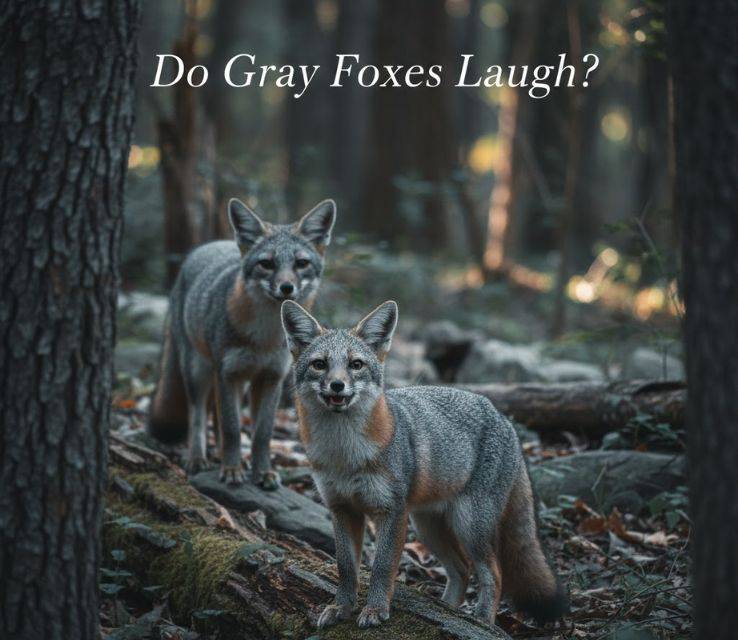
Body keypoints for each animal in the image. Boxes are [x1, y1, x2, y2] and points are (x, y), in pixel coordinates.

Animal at [148, 197, 337, 489]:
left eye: (301, 263)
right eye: (267, 264)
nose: (286, 288)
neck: (264, 338)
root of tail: (209, 245)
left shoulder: (271, 378)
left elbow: (261, 434)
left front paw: (263, 472)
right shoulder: (228, 374)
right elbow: (232, 428)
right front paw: (232, 470)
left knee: (215, 418)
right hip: (199, 373)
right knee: (198, 416)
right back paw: (198, 458)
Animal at [280, 299, 568, 629]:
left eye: (356, 364)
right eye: (320, 364)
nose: (337, 386)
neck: (345, 455)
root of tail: (504, 419)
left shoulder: (391, 512)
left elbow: (382, 568)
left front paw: (375, 610)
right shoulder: (342, 509)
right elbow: (346, 568)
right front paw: (341, 607)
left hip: (468, 526)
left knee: (493, 573)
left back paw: (482, 621)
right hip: (428, 527)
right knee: (462, 570)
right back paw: (448, 612)